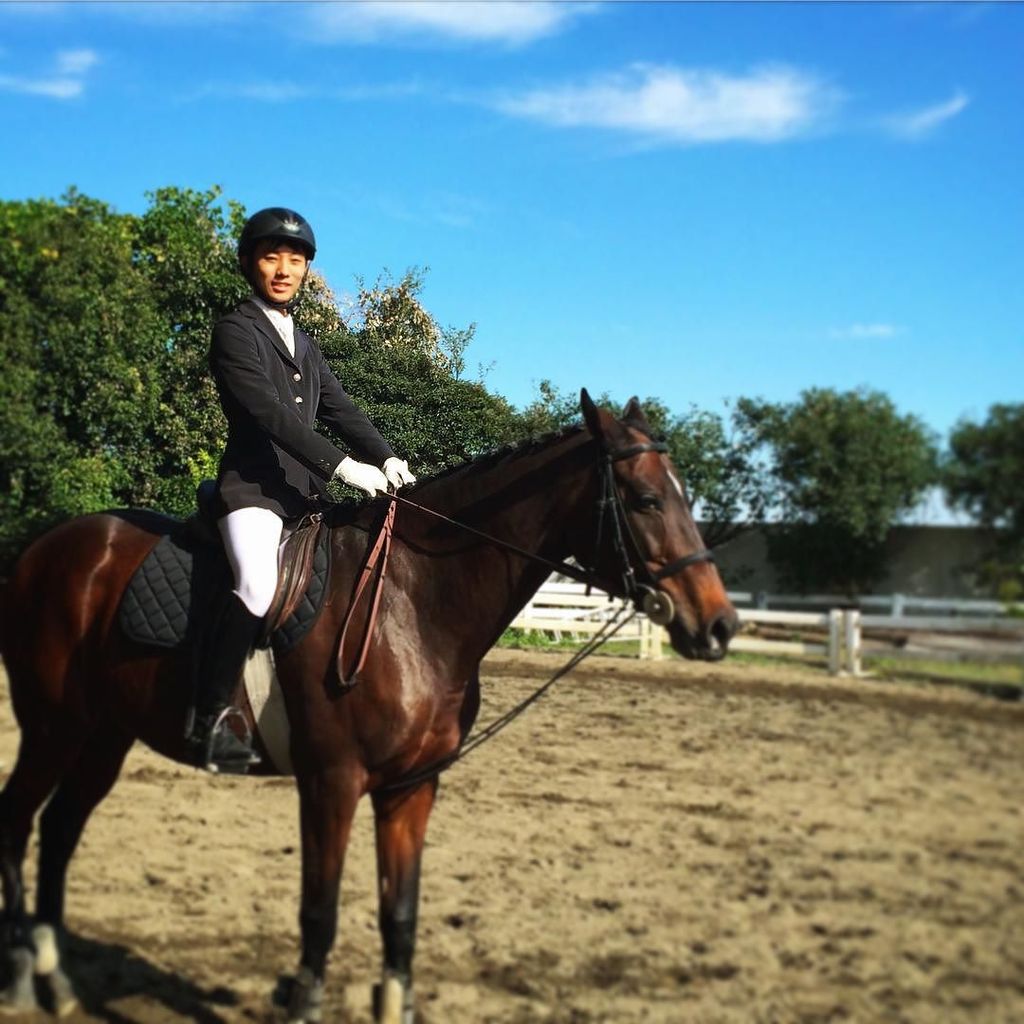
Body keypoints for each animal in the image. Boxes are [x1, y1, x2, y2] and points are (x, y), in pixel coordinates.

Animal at [0, 390, 737, 1023]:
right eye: (645, 500)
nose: (720, 626)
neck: (412, 603)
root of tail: (44, 547)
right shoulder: (332, 782)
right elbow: (319, 911)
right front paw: (303, 1003)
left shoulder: (411, 787)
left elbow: (400, 915)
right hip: (54, 728)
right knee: (20, 821)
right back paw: (23, 977)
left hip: (104, 735)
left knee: (60, 832)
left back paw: (57, 976)